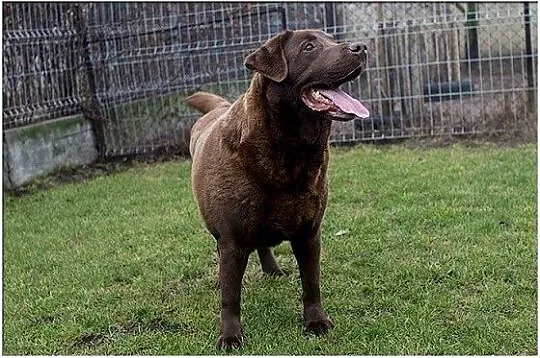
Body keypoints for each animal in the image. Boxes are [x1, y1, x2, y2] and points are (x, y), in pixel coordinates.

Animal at [185, 29, 368, 348]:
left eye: (332, 40)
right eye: (309, 47)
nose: (361, 47)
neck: (289, 152)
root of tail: (218, 107)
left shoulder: (309, 234)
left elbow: (311, 283)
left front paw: (315, 321)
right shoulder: (231, 241)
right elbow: (230, 296)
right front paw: (230, 336)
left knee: (263, 244)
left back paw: (272, 270)